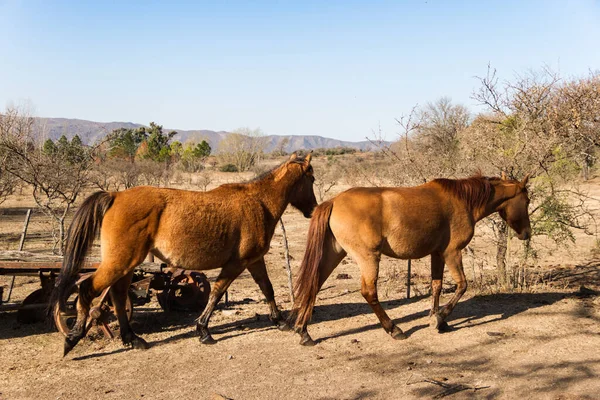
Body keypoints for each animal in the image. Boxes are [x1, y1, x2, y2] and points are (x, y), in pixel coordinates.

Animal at [50, 153, 318, 356]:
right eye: (312, 178)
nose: (313, 210)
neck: (259, 202)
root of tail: (115, 195)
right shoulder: (237, 263)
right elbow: (218, 292)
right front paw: (203, 331)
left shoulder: (254, 261)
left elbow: (266, 288)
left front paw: (280, 321)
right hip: (120, 263)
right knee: (88, 290)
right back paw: (72, 338)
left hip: (126, 265)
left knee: (117, 295)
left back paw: (133, 339)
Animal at [290, 173, 528, 346]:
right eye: (526, 201)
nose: (526, 233)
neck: (463, 201)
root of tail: (333, 201)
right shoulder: (452, 253)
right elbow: (462, 286)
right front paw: (440, 319)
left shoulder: (437, 254)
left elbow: (436, 286)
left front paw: (435, 316)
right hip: (368, 258)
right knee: (369, 292)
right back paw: (394, 329)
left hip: (335, 254)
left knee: (314, 285)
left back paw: (303, 331)